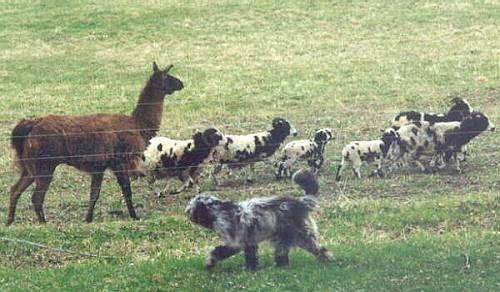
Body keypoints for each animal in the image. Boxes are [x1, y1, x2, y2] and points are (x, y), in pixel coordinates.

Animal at [6, 62, 184, 226]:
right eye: (168, 76)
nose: (182, 83)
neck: (138, 124)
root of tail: (30, 126)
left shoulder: (101, 165)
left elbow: (94, 194)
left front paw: (88, 219)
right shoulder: (120, 161)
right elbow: (126, 191)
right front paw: (135, 216)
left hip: (30, 166)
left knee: (14, 190)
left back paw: (9, 222)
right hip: (44, 165)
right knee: (36, 197)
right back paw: (43, 223)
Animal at [185, 169, 332, 270]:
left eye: (191, 207)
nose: (186, 212)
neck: (218, 211)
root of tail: (301, 202)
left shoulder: (236, 242)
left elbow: (218, 252)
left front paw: (210, 262)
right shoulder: (249, 241)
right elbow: (251, 255)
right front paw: (252, 268)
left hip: (302, 235)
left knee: (319, 249)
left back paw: (327, 261)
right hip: (285, 238)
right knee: (286, 253)